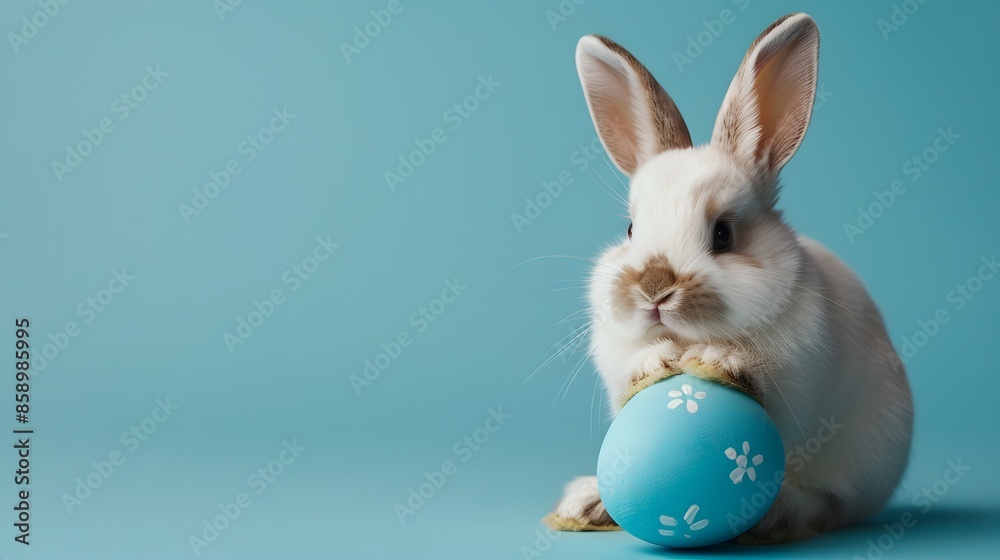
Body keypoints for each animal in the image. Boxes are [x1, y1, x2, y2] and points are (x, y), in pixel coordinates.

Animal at [544, 13, 914, 544]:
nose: (654, 289)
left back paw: (779, 515)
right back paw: (588, 503)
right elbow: (637, 363)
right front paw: (657, 360)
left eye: (723, 234)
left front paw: (715, 358)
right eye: (631, 229)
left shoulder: (797, 374)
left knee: (829, 505)